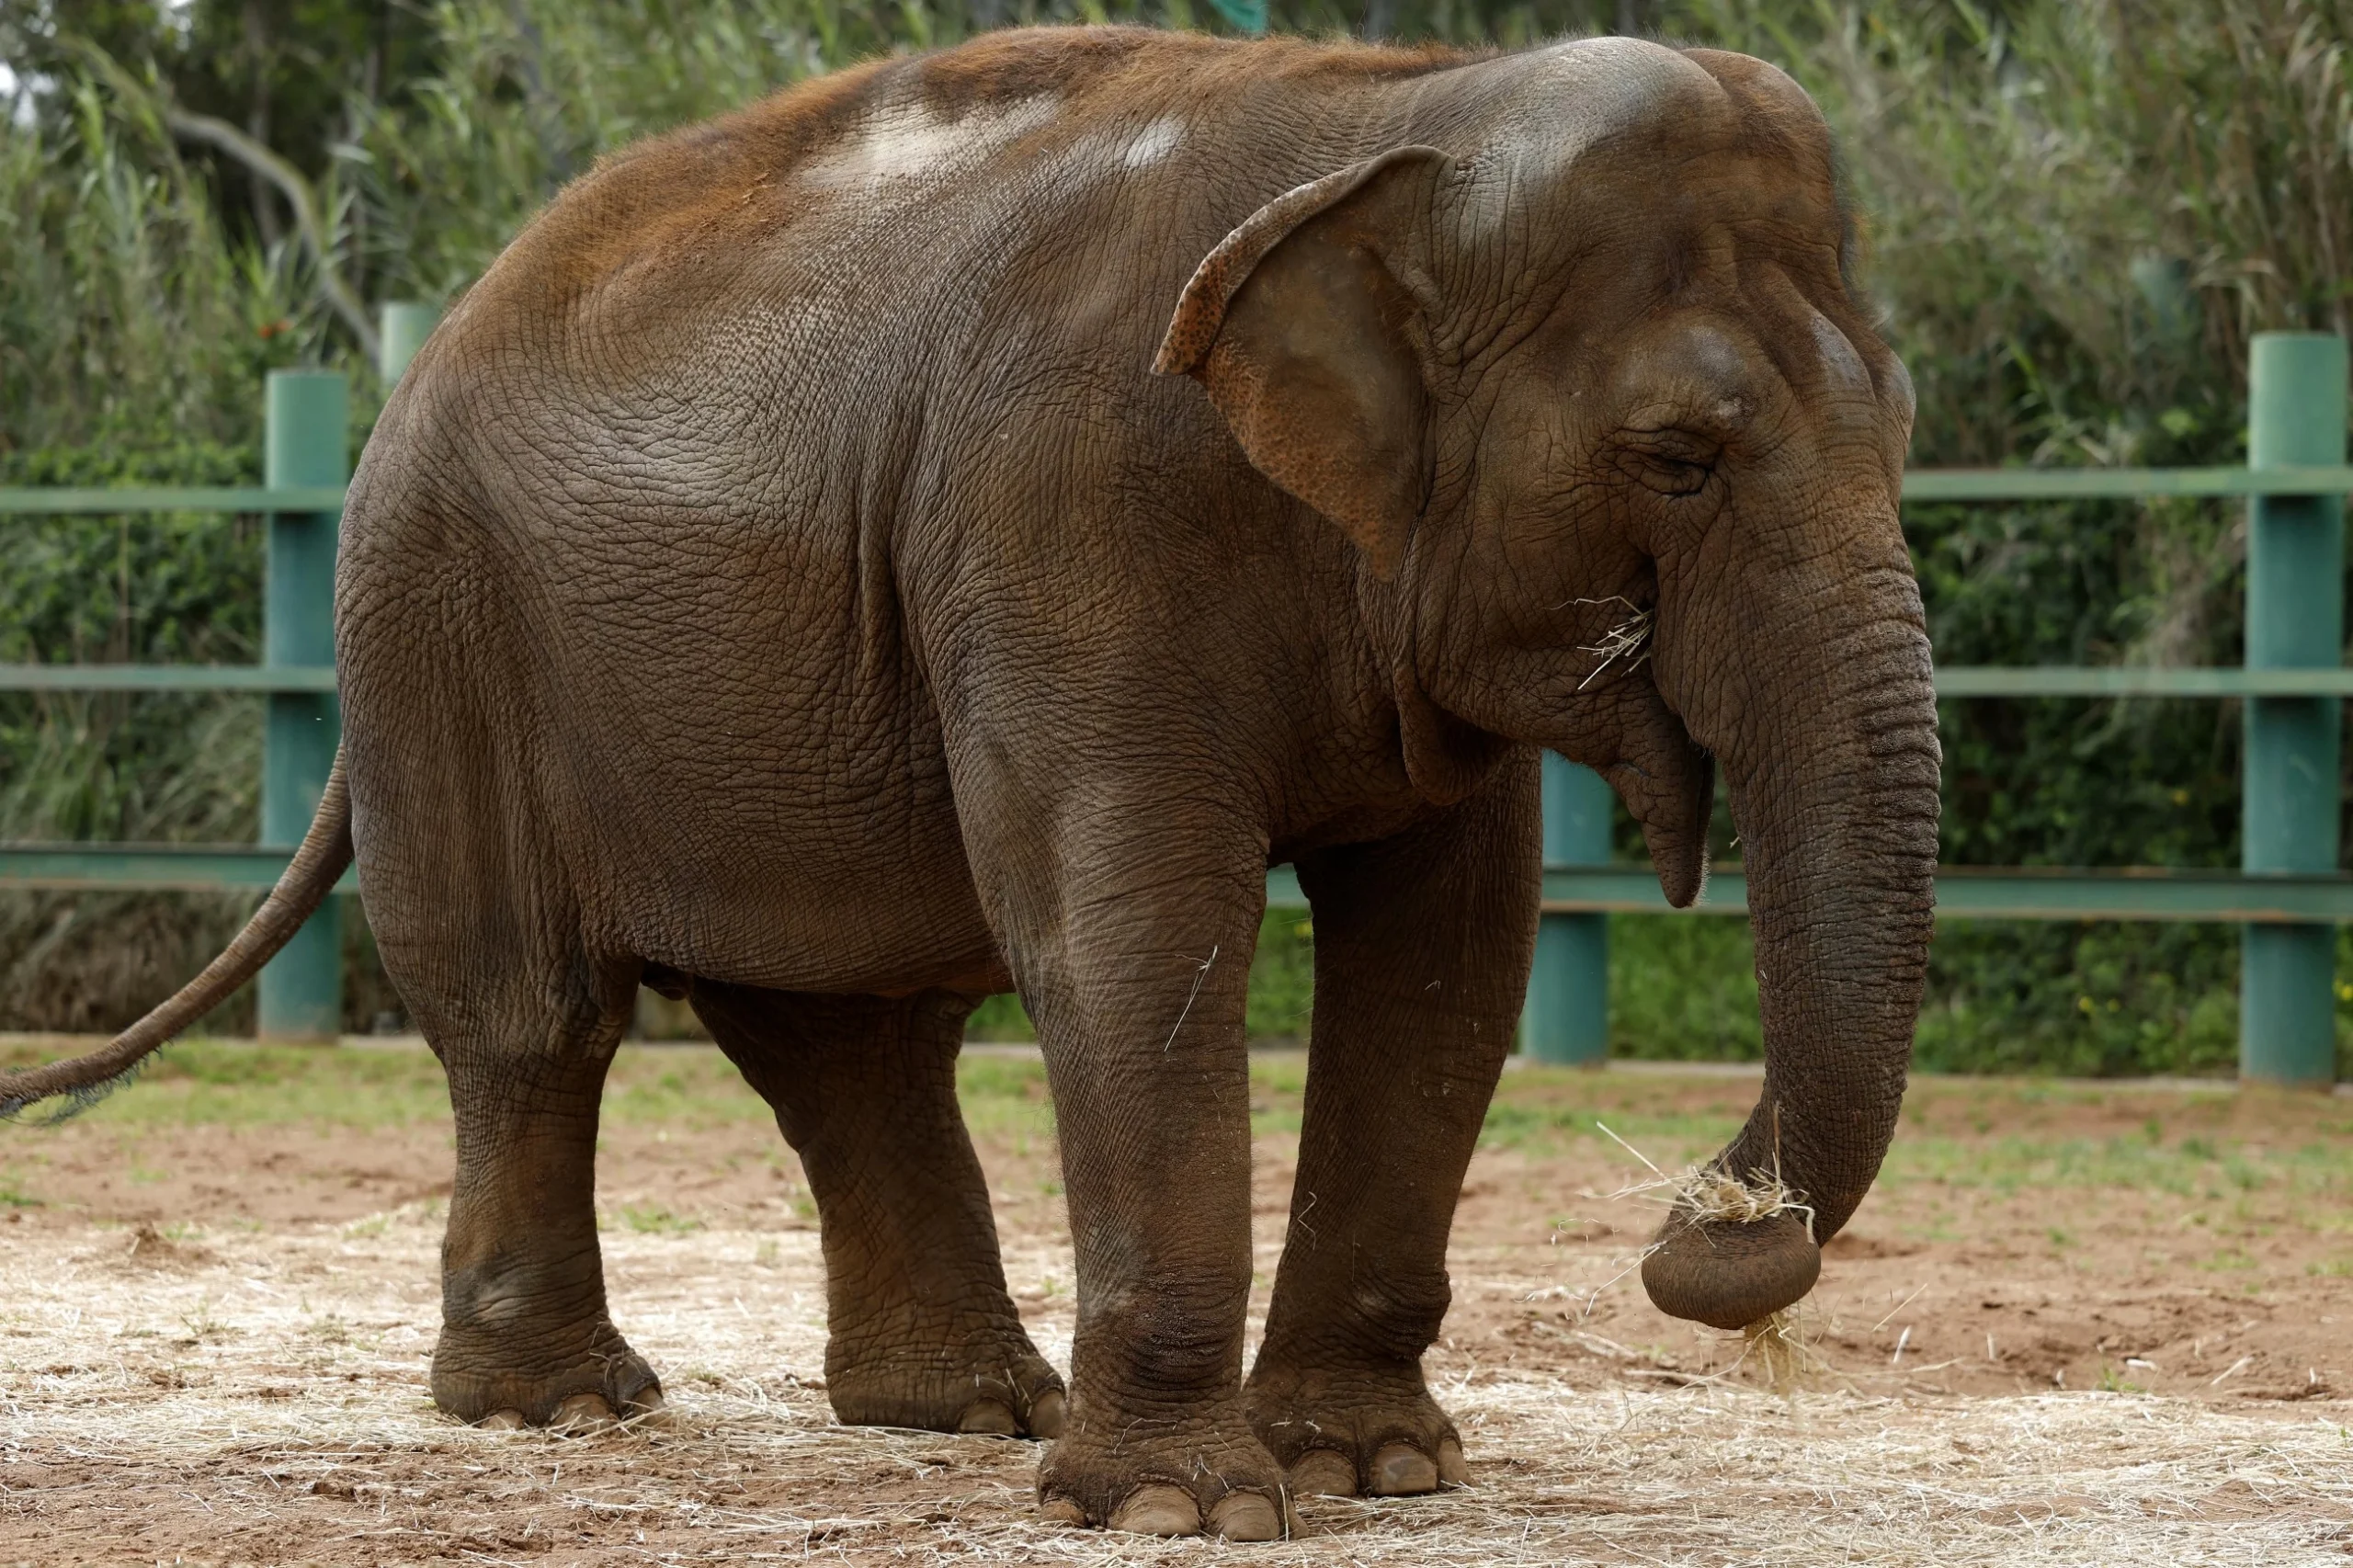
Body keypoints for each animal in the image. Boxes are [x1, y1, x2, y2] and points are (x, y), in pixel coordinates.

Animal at [1, 25, 1938, 1542]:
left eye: (1907, 432)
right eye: (1676, 460)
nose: (1711, 1233)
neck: (1399, 110)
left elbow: (1452, 946)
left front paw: (1376, 1467)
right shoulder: (1066, 512)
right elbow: (1132, 917)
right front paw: (1184, 1506)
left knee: (848, 1039)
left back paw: (963, 1411)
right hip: (435, 636)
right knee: (533, 1017)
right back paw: (567, 1408)